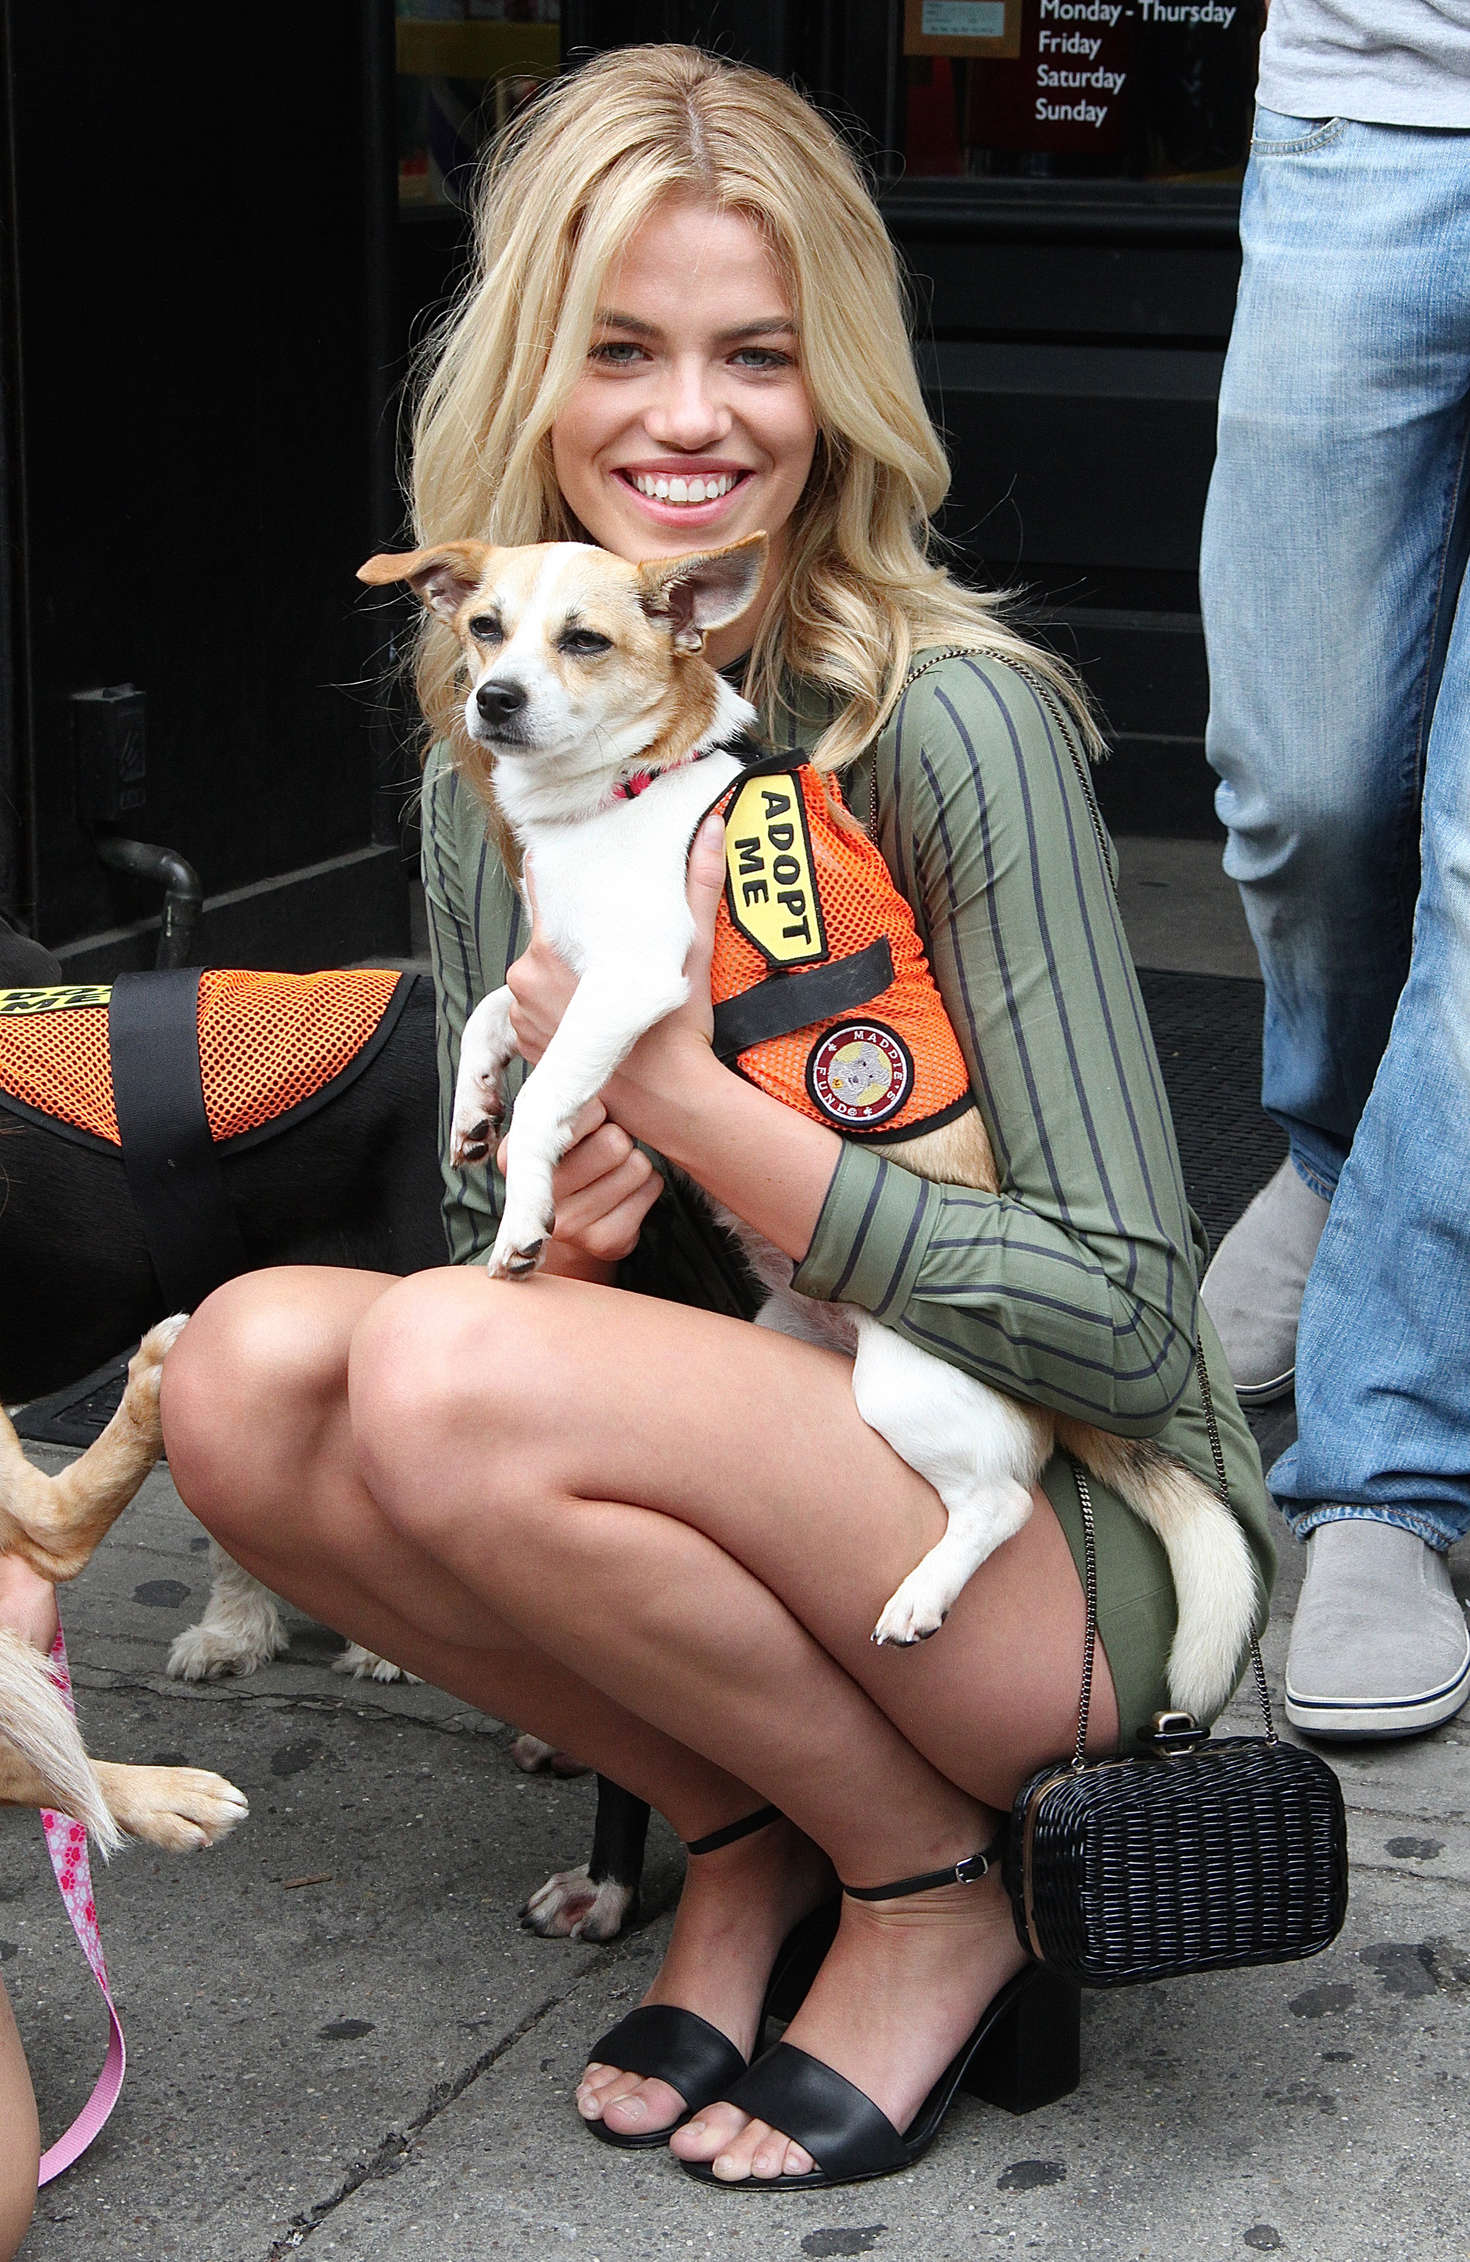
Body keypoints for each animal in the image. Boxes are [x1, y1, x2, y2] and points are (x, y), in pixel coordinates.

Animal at [359, 531, 1258, 1731]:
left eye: (584, 642)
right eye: (484, 629)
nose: (494, 699)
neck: (616, 793)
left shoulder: (632, 981)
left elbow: (549, 1092)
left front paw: (524, 1210)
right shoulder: (563, 975)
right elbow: (498, 1014)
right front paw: (472, 1113)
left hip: (914, 1395)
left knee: (1001, 1503)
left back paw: (924, 1592)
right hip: (794, 1336)